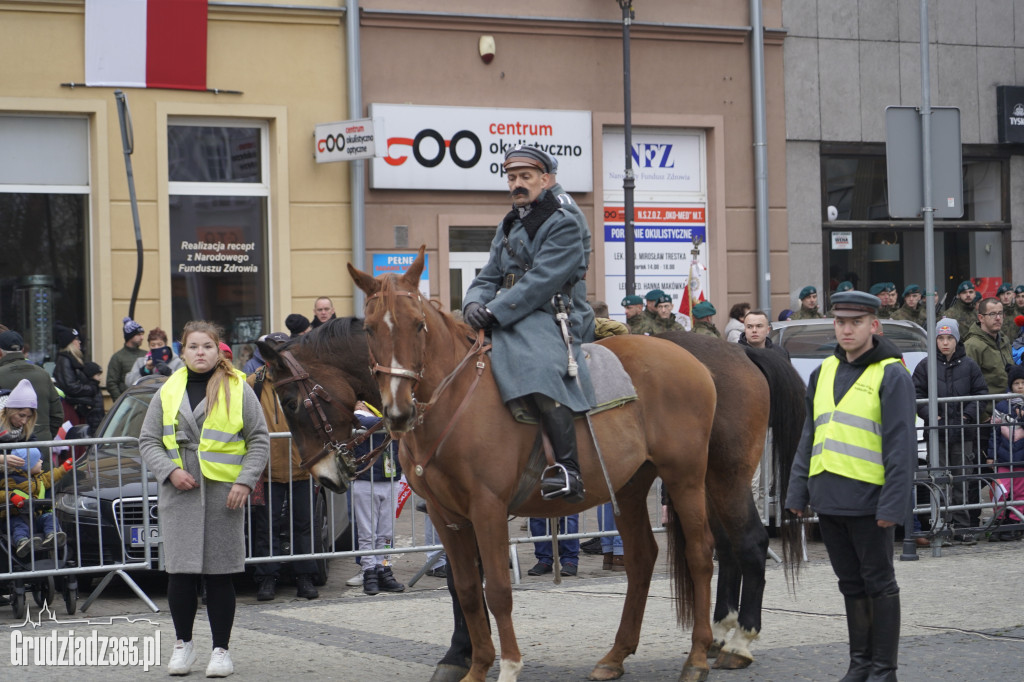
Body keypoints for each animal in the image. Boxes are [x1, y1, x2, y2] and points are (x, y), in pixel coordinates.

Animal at [344, 249, 720, 679]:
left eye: (418, 325)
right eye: (369, 329)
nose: (398, 412)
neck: (454, 399)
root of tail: (693, 361)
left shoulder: (487, 509)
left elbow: (497, 591)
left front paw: (508, 665)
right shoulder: (446, 516)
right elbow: (469, 591)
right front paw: (476, 667)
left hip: (685, 477)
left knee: (699, 554)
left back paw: (697, 656)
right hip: (628, 486)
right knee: (641, 558)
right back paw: (615, 656)